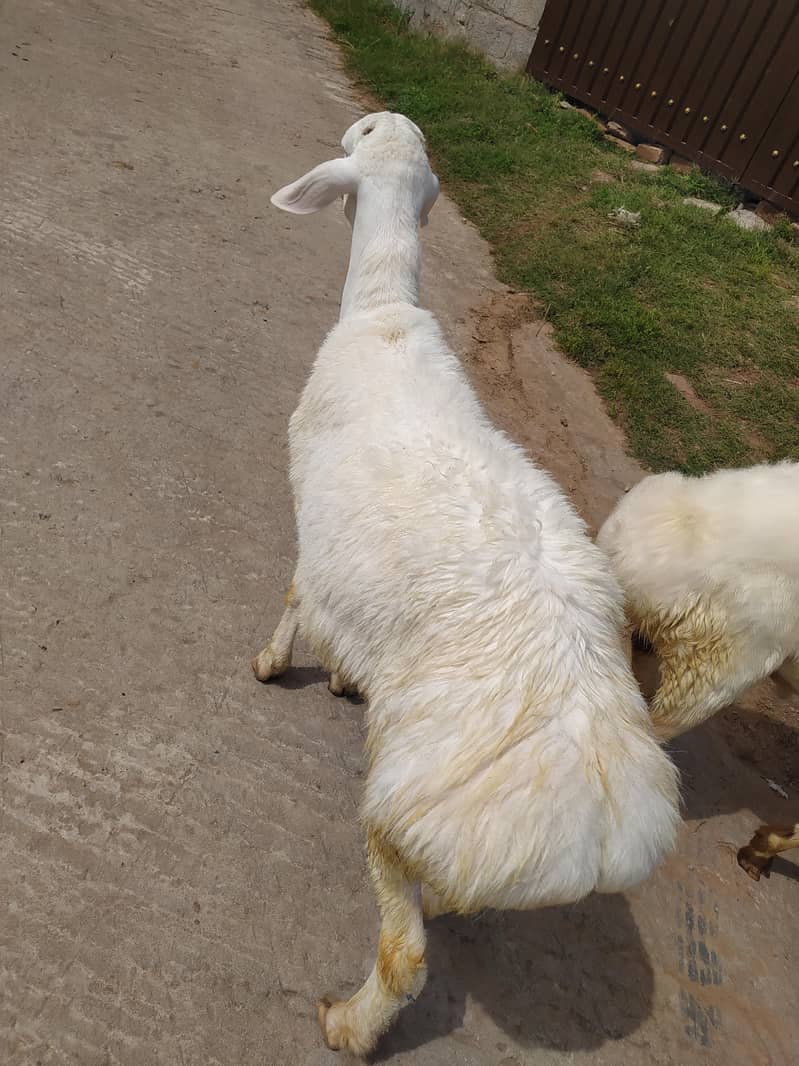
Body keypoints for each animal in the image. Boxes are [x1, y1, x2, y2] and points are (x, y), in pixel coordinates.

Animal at [253, 111, 680, 1056]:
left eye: (360, 130)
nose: (383, 120)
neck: (383, 313)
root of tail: (597, 834)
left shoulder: (314, 516)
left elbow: (295, 597)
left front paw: (269, 665)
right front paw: (340, 678)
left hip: (399, 808)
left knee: (406, 953)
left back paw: (349, 1024)